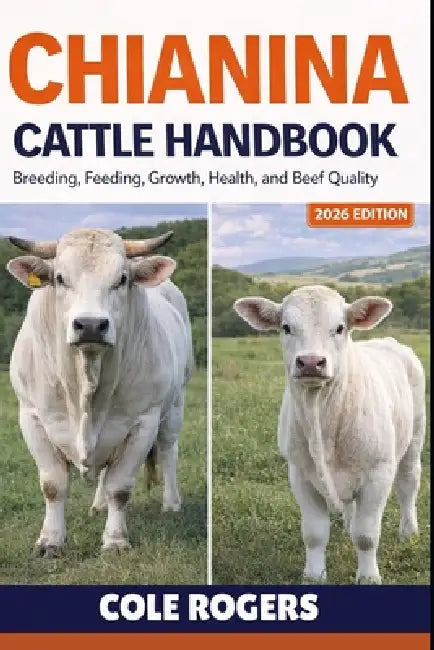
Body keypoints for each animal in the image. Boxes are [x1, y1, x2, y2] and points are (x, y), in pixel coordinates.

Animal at [6, 228, 193, 557]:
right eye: (59, 277)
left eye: (122, 278)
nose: (91, 325)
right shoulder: (31, 416)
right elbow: (53, 485)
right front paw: (50, 541)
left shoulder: (143, 421)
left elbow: (120, 487)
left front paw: (115, 540)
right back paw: (99, 505)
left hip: (174, 406)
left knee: (168, 450)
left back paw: (171, 504)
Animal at [234, 285, 426, 584]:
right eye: (286, 327)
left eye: (339, 327)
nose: (311, 362)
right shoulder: (300, 474)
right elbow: (314, 533)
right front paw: (314, 575)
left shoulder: (378, 473)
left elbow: (367, 535)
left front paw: (368, 577)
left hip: (414, 438)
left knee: (408, 484)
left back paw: (408, 531)